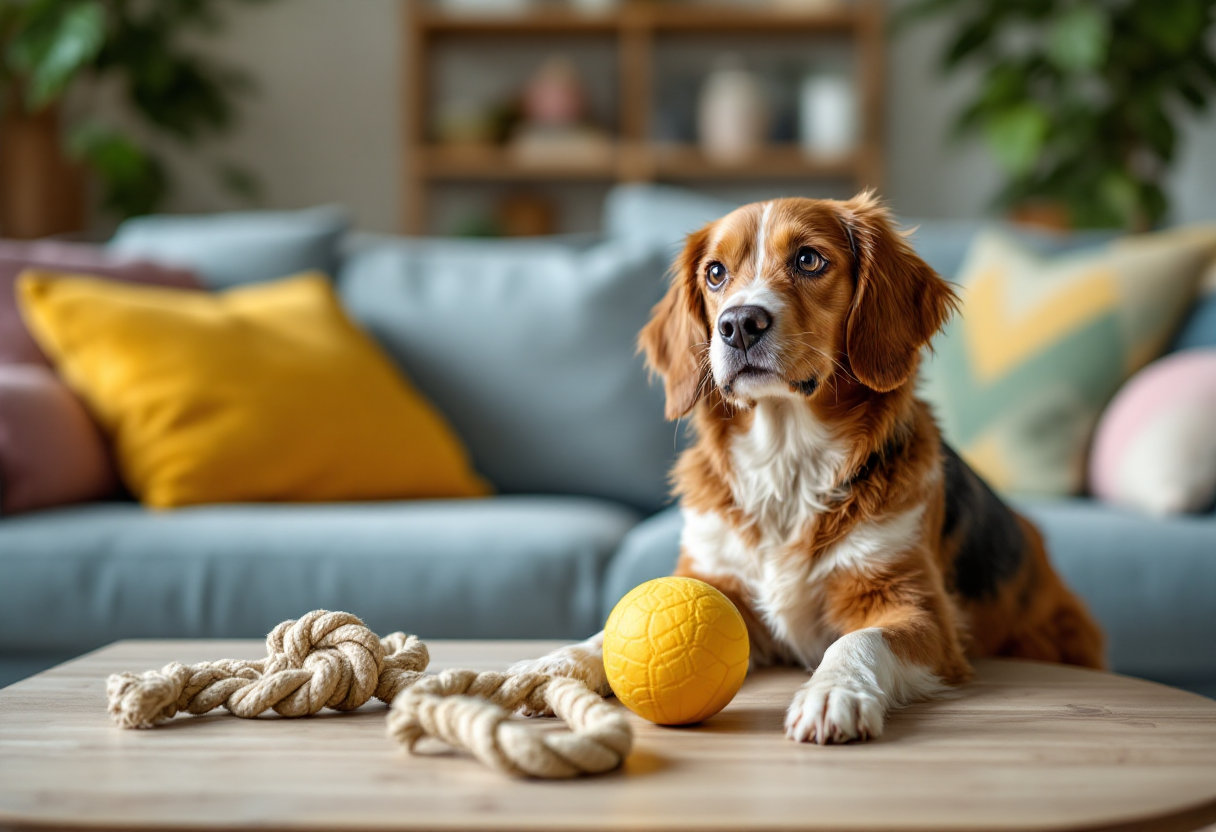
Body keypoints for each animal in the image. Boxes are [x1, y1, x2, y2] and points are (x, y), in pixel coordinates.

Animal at [508, 193, 1108, 739]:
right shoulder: (714, 581)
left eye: (809, 259)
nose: (738, 324)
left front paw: (833, 692)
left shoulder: (919, 609)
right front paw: (553, 665)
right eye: (716, 273)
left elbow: (858, 639)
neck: (786, 459)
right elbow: (608, 632)